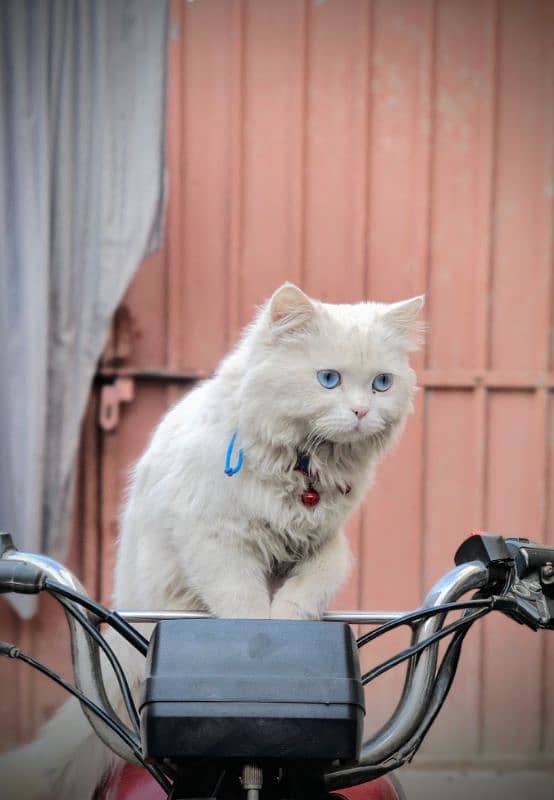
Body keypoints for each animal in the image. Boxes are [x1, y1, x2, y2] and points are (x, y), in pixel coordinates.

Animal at [1, 284, 422, 796]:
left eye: (382, 384)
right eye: (329, 379)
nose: (362, 412)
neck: (303, 465)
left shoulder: (328, 547)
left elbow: (304, 592)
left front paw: (287, 630)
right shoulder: (215, 540)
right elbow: (245, 609)